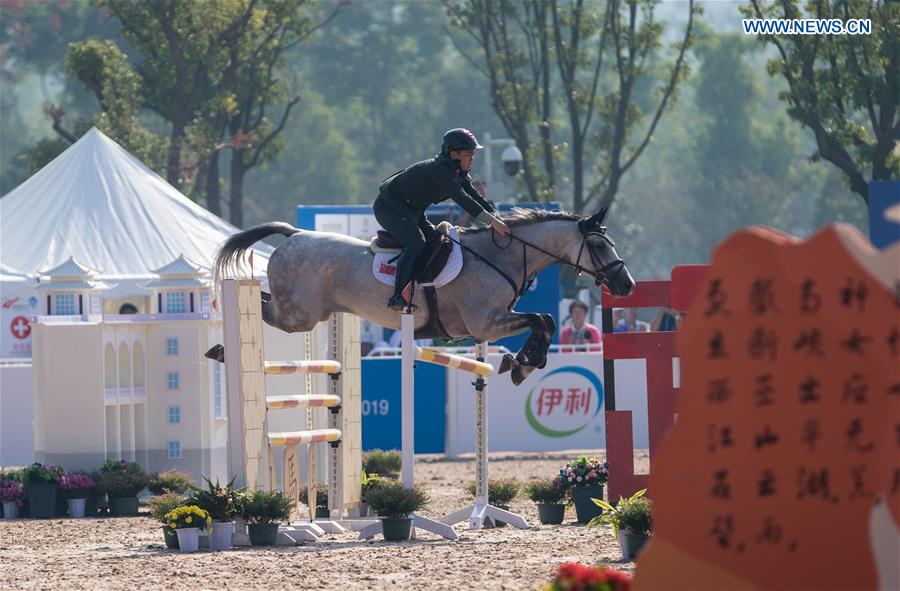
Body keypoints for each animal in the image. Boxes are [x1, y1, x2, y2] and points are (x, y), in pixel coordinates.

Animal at [210, 209, 632, 388]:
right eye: (599, 244)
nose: (625, 284)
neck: (500, 255)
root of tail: (294, 233)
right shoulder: (486, 324)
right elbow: (542, 319)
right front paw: (523, 365)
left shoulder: (496, 319)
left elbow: (545, 320)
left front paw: (522, 364)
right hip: (298, 315)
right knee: (260, 307)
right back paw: (221, 345)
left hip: (306, 312)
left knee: (266, 301)